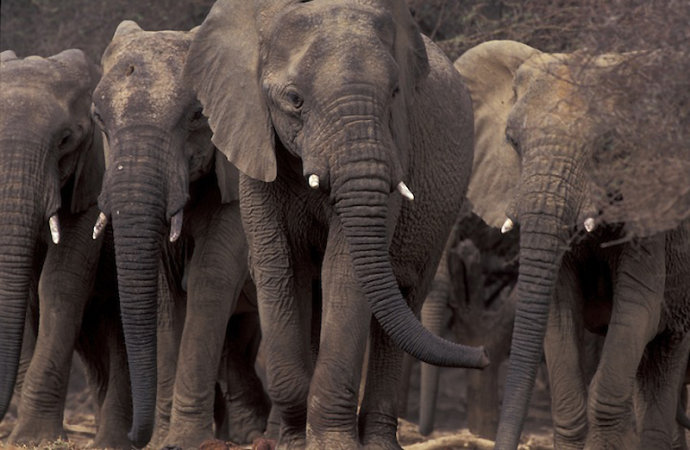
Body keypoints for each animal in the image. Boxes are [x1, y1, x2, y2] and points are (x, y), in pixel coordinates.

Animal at [92, 22, 270, 448]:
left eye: (197, 116)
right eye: (97, 117)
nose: (133, 435)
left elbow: (211, 276)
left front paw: (184, 440)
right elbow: (164, 293)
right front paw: (163, 442)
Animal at [183, 1, 490, 448]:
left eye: (395, 94)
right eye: (294, 100)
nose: (484, 354)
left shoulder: (393, 150)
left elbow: (345, 273)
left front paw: (332, 443)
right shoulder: (255, 145)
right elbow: (280, 267)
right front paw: (293, 440)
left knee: (404, 300)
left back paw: (378, 442)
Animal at [452, 40, 688, 448]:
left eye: (608, 145)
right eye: (512, 140)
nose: (480, 356)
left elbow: (637, 309)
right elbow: (557, 310)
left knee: (667, 347)